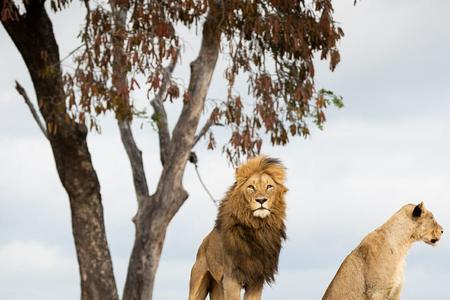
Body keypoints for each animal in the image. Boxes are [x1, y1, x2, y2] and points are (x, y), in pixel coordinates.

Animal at [187, 156, 286, 298]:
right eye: (251, 187)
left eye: (269, 187)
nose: (261, 200)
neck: (257, 228)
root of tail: (204, 242)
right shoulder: (231, 279)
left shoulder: (256, 280)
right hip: (198, 284)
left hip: (218, 286)